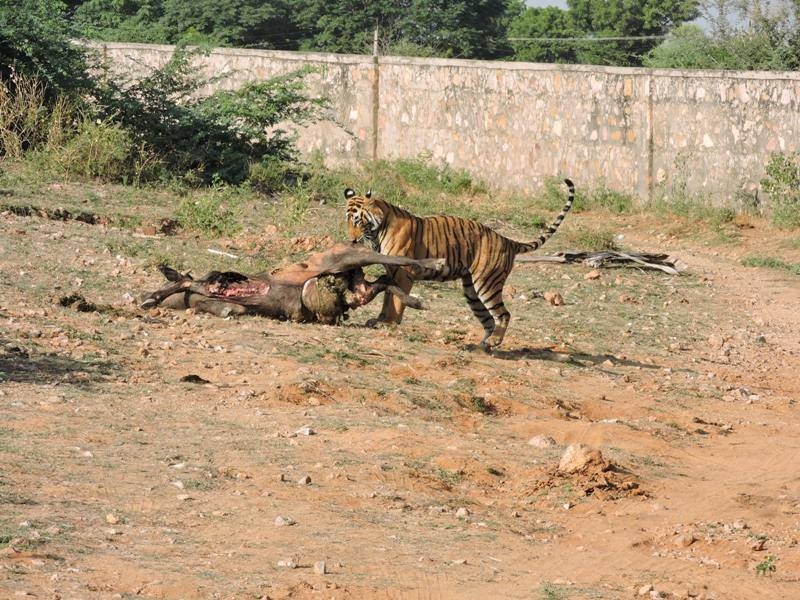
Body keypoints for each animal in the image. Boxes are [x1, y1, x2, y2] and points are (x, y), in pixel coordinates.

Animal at [344, 178, 575, 349]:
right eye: (347, 220)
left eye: (358, 220)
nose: (352, 240)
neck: (377, 231)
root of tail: (507, 240)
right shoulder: (392, 271)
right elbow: (389, 297)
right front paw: (380, 320)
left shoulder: (403, 271)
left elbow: (396, 300)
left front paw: (389, 323)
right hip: (472, 290)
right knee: (489, 319)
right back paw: (480, 346)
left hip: (487, 283)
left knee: (503, 314)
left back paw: (494, 341)